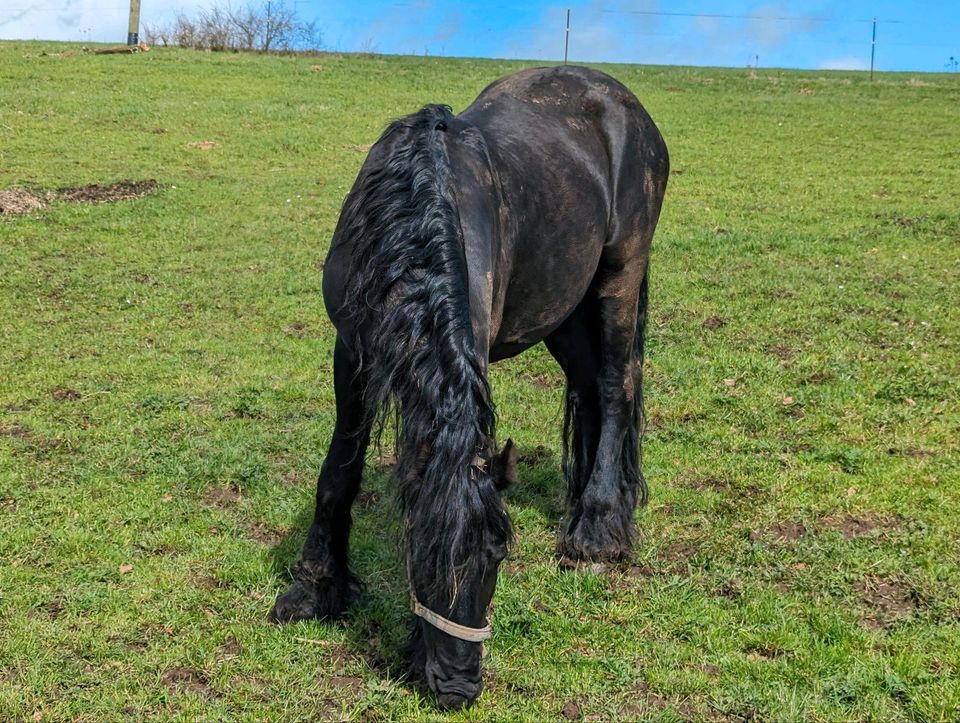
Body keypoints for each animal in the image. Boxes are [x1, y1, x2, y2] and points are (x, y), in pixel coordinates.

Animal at [272, 65, 668, 708]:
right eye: (421, 554)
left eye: (498, 556)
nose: (459, 687)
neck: (410, 213)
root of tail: (623, 102)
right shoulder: (351, 350)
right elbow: (339, 472)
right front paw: (314, 589)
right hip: (562, 309)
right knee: (589, 389)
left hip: (620, 274)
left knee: (616, 388)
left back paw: (597, 529)